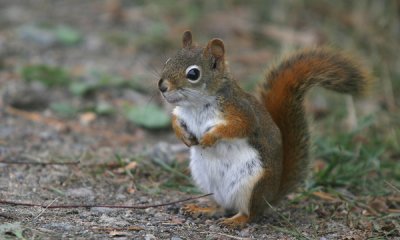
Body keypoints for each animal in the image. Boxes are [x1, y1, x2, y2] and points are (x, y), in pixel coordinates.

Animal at [158, 31, 370, 228]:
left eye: (193, 74)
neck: (196, 105)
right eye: (167, 61)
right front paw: (184, 137)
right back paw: (202, 209)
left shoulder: (241, 112)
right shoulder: (182, 113)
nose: (162, 86)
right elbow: (175, 120)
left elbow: (238, 128)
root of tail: (271, 196)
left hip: (253, 185)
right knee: (222, 207)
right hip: (206, 181)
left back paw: (236, 220)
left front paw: (209, 138)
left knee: (250, 213)